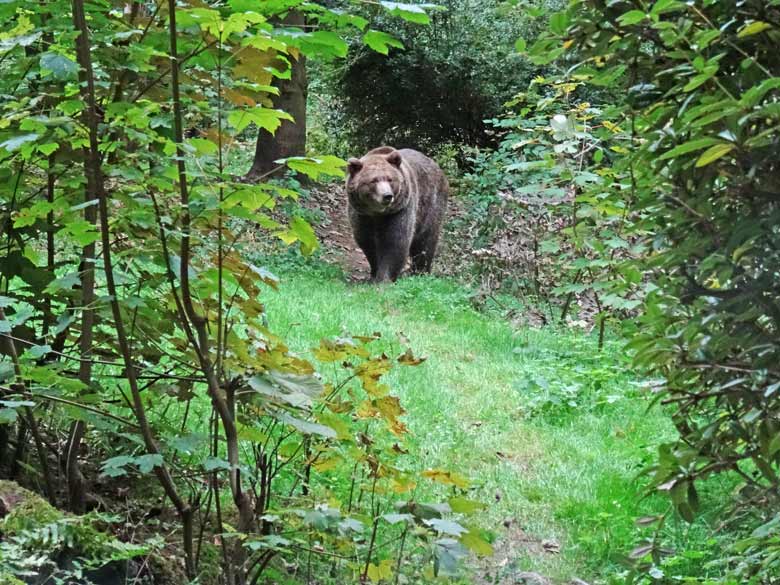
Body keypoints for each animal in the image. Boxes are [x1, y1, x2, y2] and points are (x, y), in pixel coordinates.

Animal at [348, 147, 450, 282]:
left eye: (390, 179)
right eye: (373, 180)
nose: (387, 195)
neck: (378, 214)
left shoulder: (400, 210)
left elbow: (395, 242)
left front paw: (384, 278)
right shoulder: (362, 215)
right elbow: (367, 241)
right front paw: (374, 274)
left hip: (431, 205)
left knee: (426, 241)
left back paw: (421, 271)